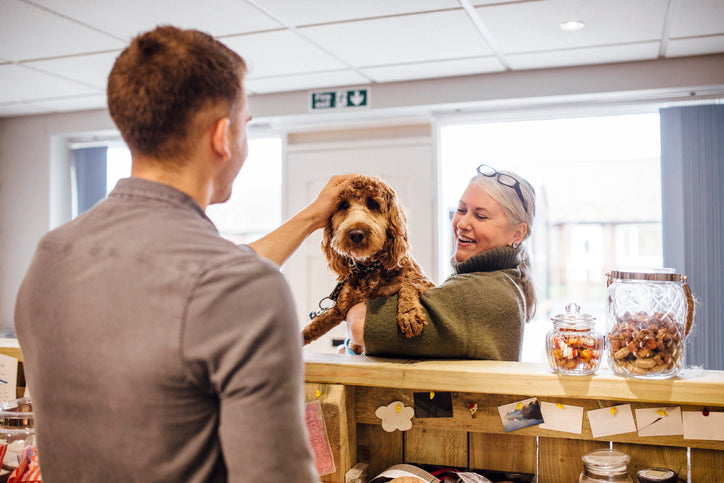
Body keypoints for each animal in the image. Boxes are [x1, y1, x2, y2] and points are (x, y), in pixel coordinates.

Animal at [302, 174, 432, 352]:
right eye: (343, 205)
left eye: (373, 204)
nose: (356, 233)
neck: (369, 267)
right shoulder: (340, 309)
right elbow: (314, 326)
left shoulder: (425, 282)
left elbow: (409, 284)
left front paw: (409, 314)